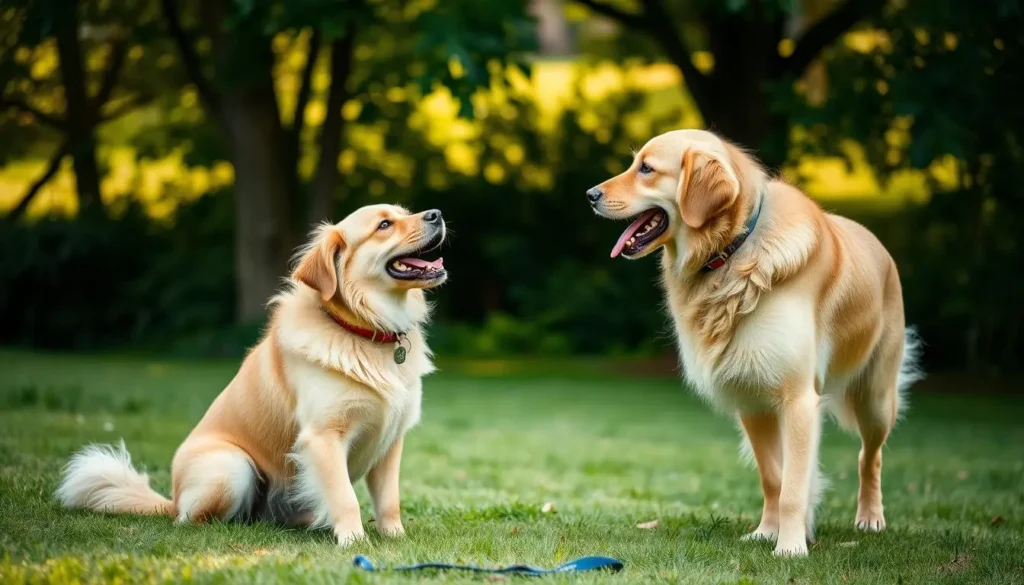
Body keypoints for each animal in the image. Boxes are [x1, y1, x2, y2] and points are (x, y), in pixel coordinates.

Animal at [57, 203, 448, 549]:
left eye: (405, 212)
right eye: (384, 225)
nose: (436, 214)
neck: (364, 331)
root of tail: (171, 500)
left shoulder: (390, 440)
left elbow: (389, 500)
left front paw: (395, 538)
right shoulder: (323, 437)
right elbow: (344, 497)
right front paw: (353, 541)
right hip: (231, 467)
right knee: (191, 520)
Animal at [589, 130, 925, 557]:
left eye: (646, 168)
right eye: (635, 163)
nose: (590, 194)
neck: (731, 252)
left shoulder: (798, 399)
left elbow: (794, 487)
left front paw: (791, 547)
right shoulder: (752, 399)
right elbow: (774, 479)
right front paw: (768, 532)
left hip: (876, 397)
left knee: (871, 456)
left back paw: (870, 518)